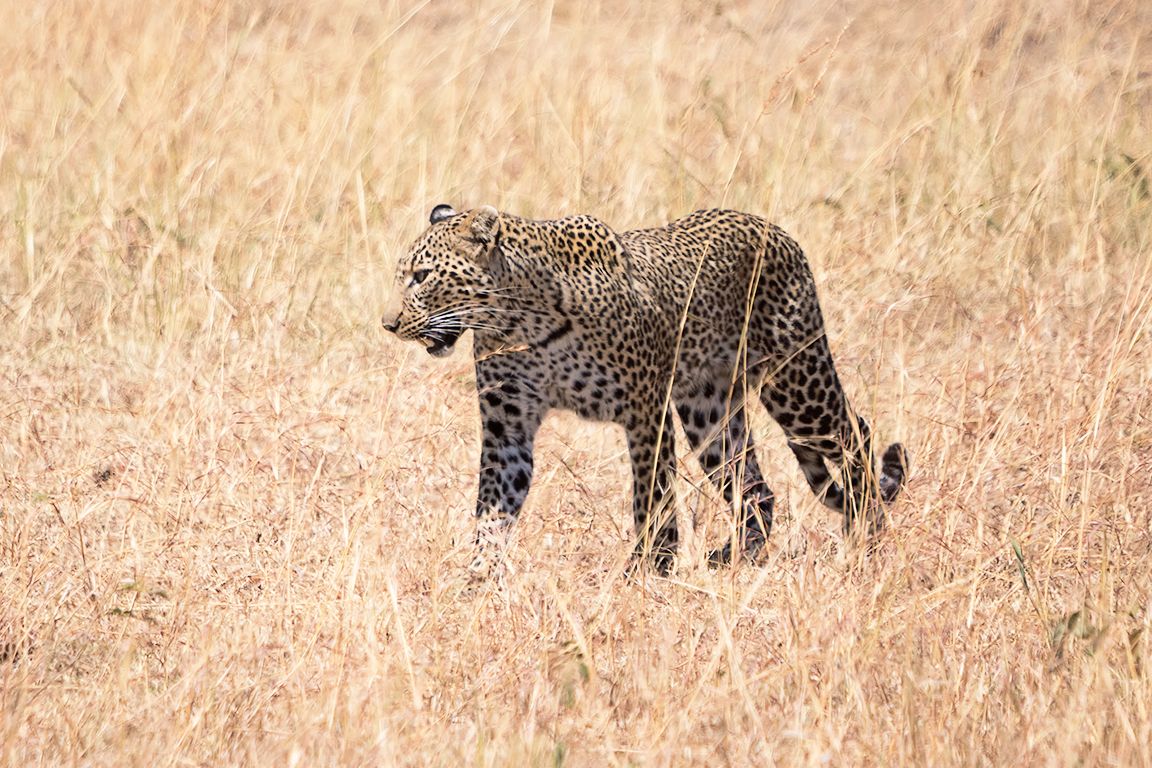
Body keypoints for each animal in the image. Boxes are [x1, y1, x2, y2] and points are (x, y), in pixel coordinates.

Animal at [381, 204, 908, 579]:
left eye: (421, 277)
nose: (388, 324)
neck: (520, 318)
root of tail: (775, 230)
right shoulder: (506, 429)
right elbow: (493, 508)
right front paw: (477, 579)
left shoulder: (645, 412)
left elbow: (650, 497)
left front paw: (648, 570)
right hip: (709, 415)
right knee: (757, 489)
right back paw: (736, 558)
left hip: (797, 382)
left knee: (856, 435)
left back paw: (866, 536)